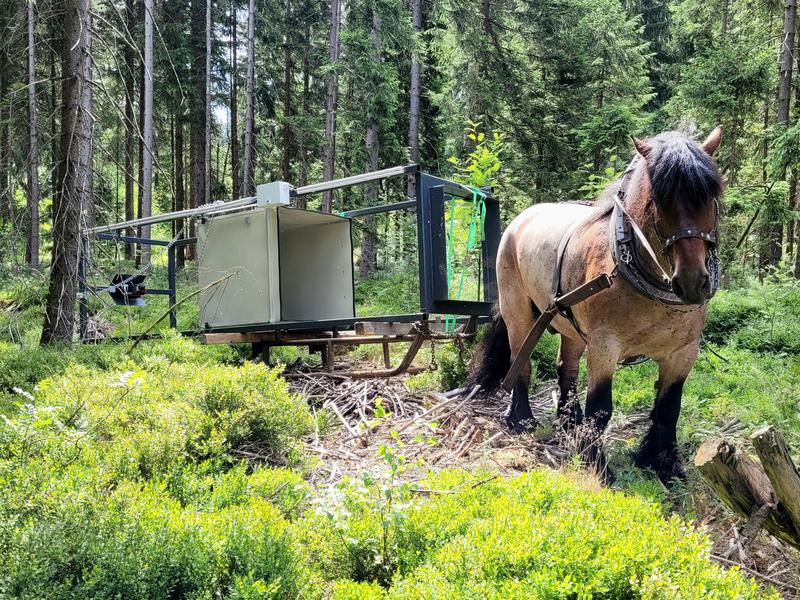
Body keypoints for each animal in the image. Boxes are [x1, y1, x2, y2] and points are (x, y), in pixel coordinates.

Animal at [468, 126, 724, 482]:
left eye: (710, 196)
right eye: (658, 200)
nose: (691, 281)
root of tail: (522, 218)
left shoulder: (683, 352)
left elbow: (668, 408)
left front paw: (663, 463)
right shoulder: (605, 345)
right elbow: (601, 407)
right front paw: (596, 464)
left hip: (569, 324)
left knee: (566, 367)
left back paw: (570, 421)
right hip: (517, 312)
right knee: (522, 361)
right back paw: (521, 418)